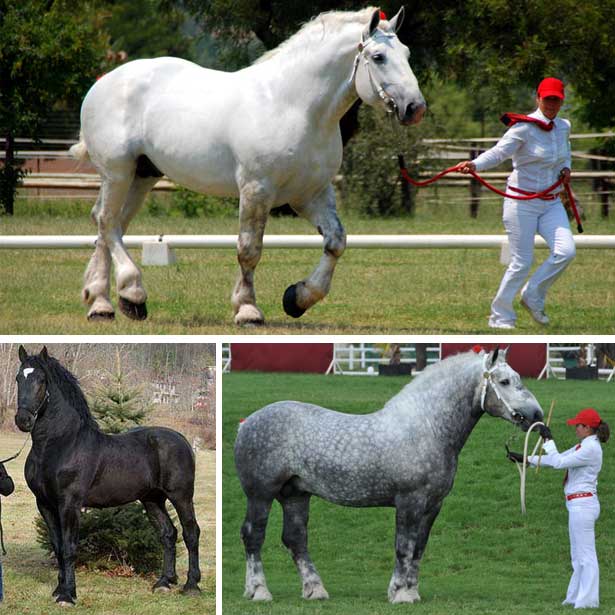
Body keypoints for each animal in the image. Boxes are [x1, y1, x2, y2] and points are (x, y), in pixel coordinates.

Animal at [14, 346, 201, 608]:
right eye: (18, 378)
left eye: (41, 380)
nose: (23, 420)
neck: (59, 444)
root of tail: (182, 439)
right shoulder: (45, 504)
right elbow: (58, 547)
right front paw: (59, 589)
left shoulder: (69, 504)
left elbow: (69, 547)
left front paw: (68, 595)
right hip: (152, 499)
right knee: (168, 533)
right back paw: (164, 582)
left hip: (181, 496)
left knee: (190, 533)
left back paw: (191, 585)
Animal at [71, 7, 424, 324]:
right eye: (378, 57)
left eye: (407, 54)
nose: (415, 107)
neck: (294, 106)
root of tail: (104, 83)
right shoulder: (257, 190)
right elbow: (249, 249)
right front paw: (247, 309)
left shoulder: (310, 195)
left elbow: (336, 243)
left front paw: (298, 298)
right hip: (118, 172)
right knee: (107, 222)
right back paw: (128, 294)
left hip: (142, 175)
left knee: (109, 225)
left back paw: (102, 301)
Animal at [235, 348, 544, 604]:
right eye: (504, 381)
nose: (536, 415)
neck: (427, 427)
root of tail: (246, 423)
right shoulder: (409, 501)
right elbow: (403, 546)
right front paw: (400, 593)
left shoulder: (433, 505)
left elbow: (419, 547)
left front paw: (412, 591)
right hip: (261, 495)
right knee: (253, 536)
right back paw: (258, 591)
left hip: (296, 495)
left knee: (295, 538)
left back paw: (315, 590)